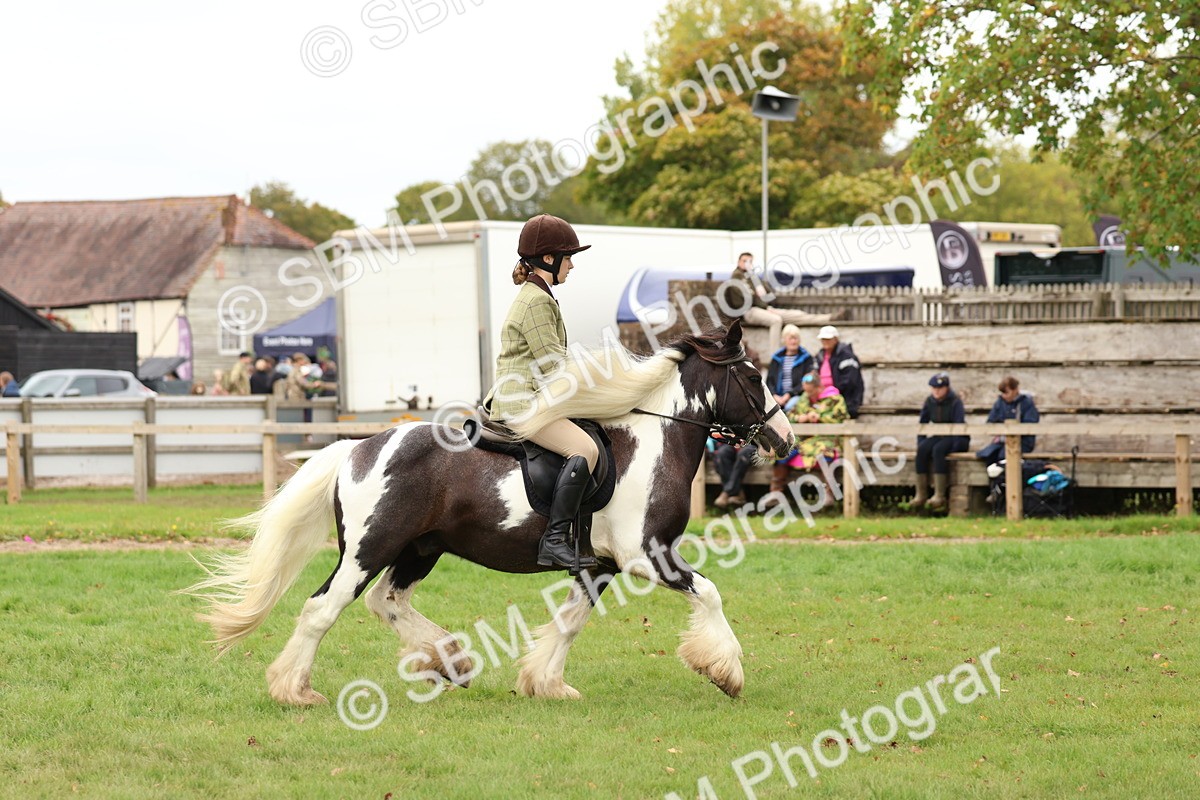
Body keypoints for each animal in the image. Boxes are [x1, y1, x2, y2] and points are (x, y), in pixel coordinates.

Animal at [188, 321, 794, 705]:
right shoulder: (647, 555)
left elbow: (570, 622)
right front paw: (727, 672)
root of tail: (357, 448)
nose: (784, 440)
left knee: (387, 602)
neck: (652, 444)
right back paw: (295, 690)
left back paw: (448, 659)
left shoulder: (600, 564)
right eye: (754, 377)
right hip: (369, 548)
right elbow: (710, 593)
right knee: (323, 608)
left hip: (419, 549)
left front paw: (546, 684)